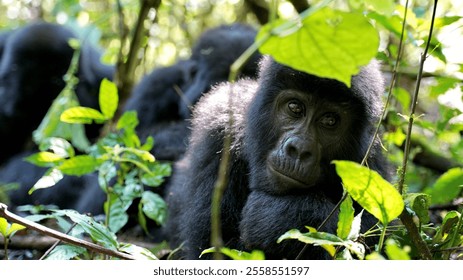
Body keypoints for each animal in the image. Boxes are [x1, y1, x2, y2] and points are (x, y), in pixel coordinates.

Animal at [165, 55, 390, 260]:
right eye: (294, 108)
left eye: (330, 121)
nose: (299, 150)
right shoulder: (219, 126)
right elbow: (212, 250)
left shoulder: (370, 162)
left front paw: (283, 216)